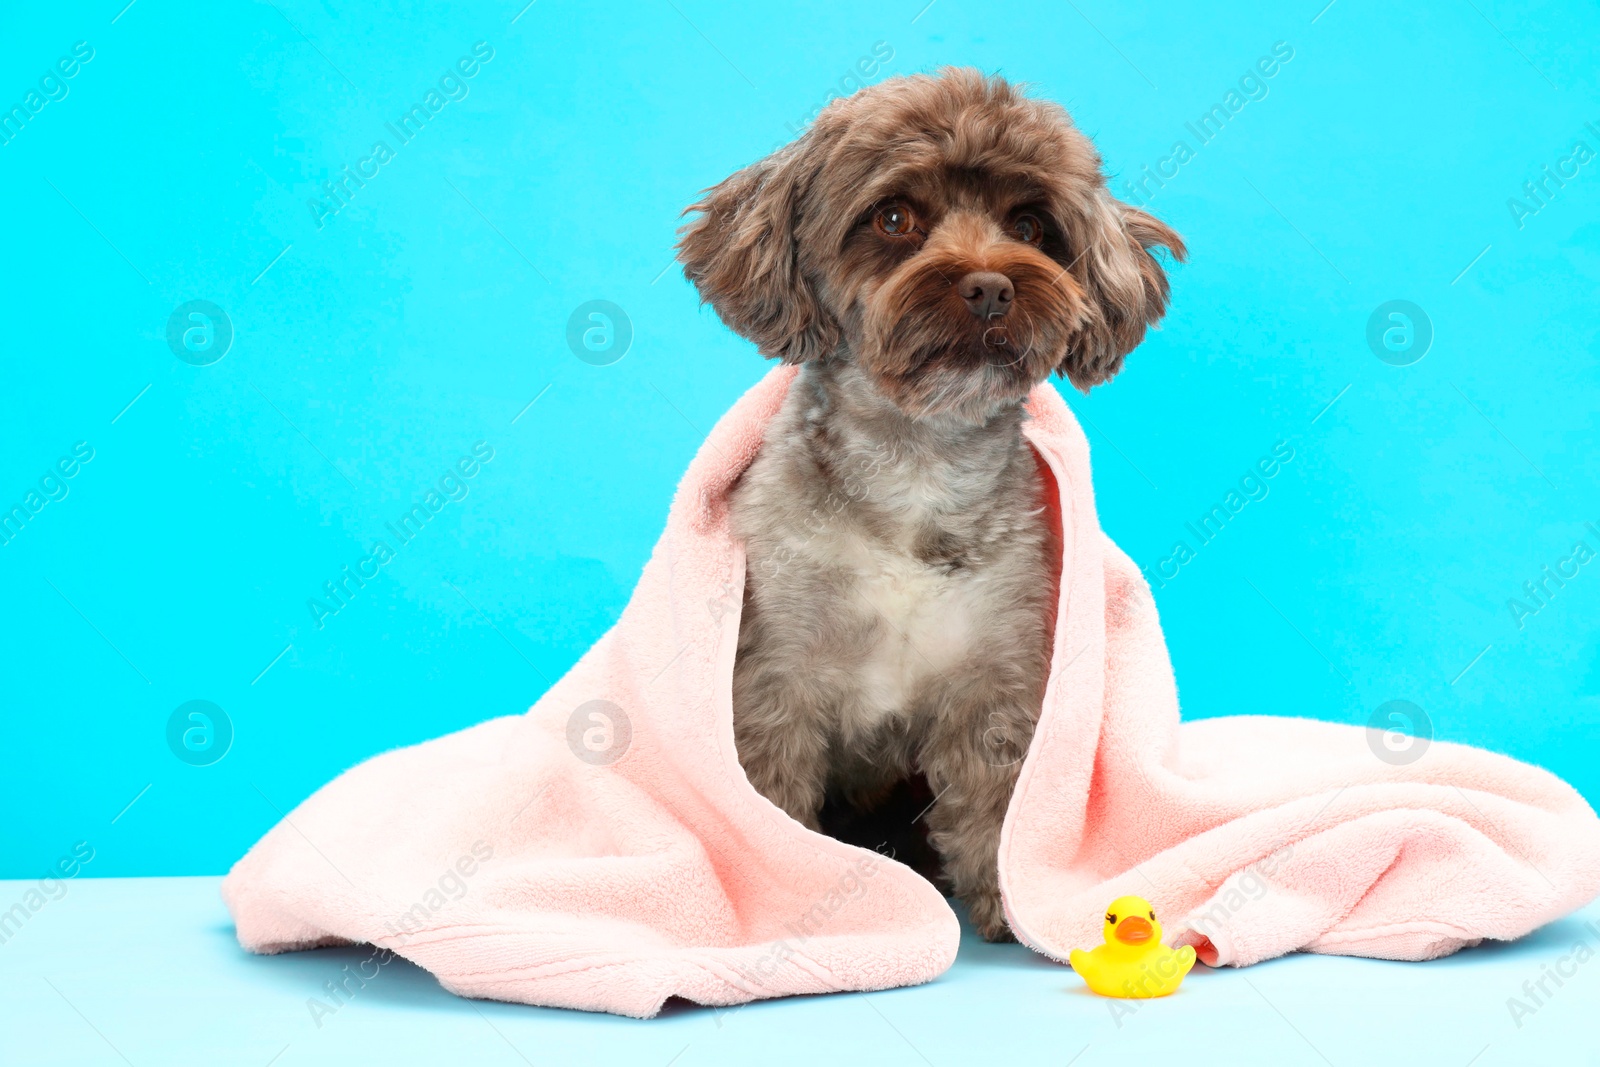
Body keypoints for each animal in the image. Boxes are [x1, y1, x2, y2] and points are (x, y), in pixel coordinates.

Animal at [668, 66, 1184, 940]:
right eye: (894, 217)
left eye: (1029, 223)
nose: (990, 285)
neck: (917, 466)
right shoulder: (775, 679)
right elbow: (770, 798)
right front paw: (801, 897)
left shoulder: (997, 680)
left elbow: (998, 804)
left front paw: (1013, 901)